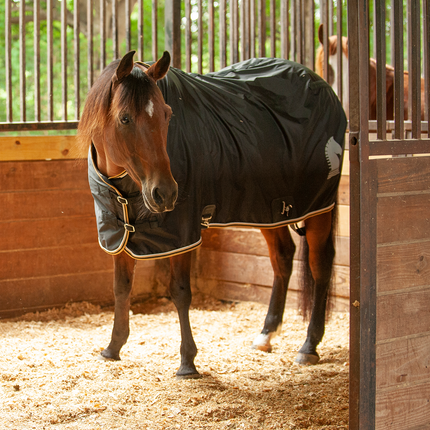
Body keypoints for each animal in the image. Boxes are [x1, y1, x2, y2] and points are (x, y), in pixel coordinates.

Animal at [76, 50, 346, 378]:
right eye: (125, 118)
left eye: (167, 114)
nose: (165, 193)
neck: (122, 185)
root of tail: (323, 87)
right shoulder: (120, 234)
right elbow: (121, 288)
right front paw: (113, 348)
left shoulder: (182, 235)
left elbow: (180, 292)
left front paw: (187, 362)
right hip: (270, 208)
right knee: (283, 257)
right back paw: (266, 335)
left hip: (319, 208)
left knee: (321, 266)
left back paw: (309, 346)